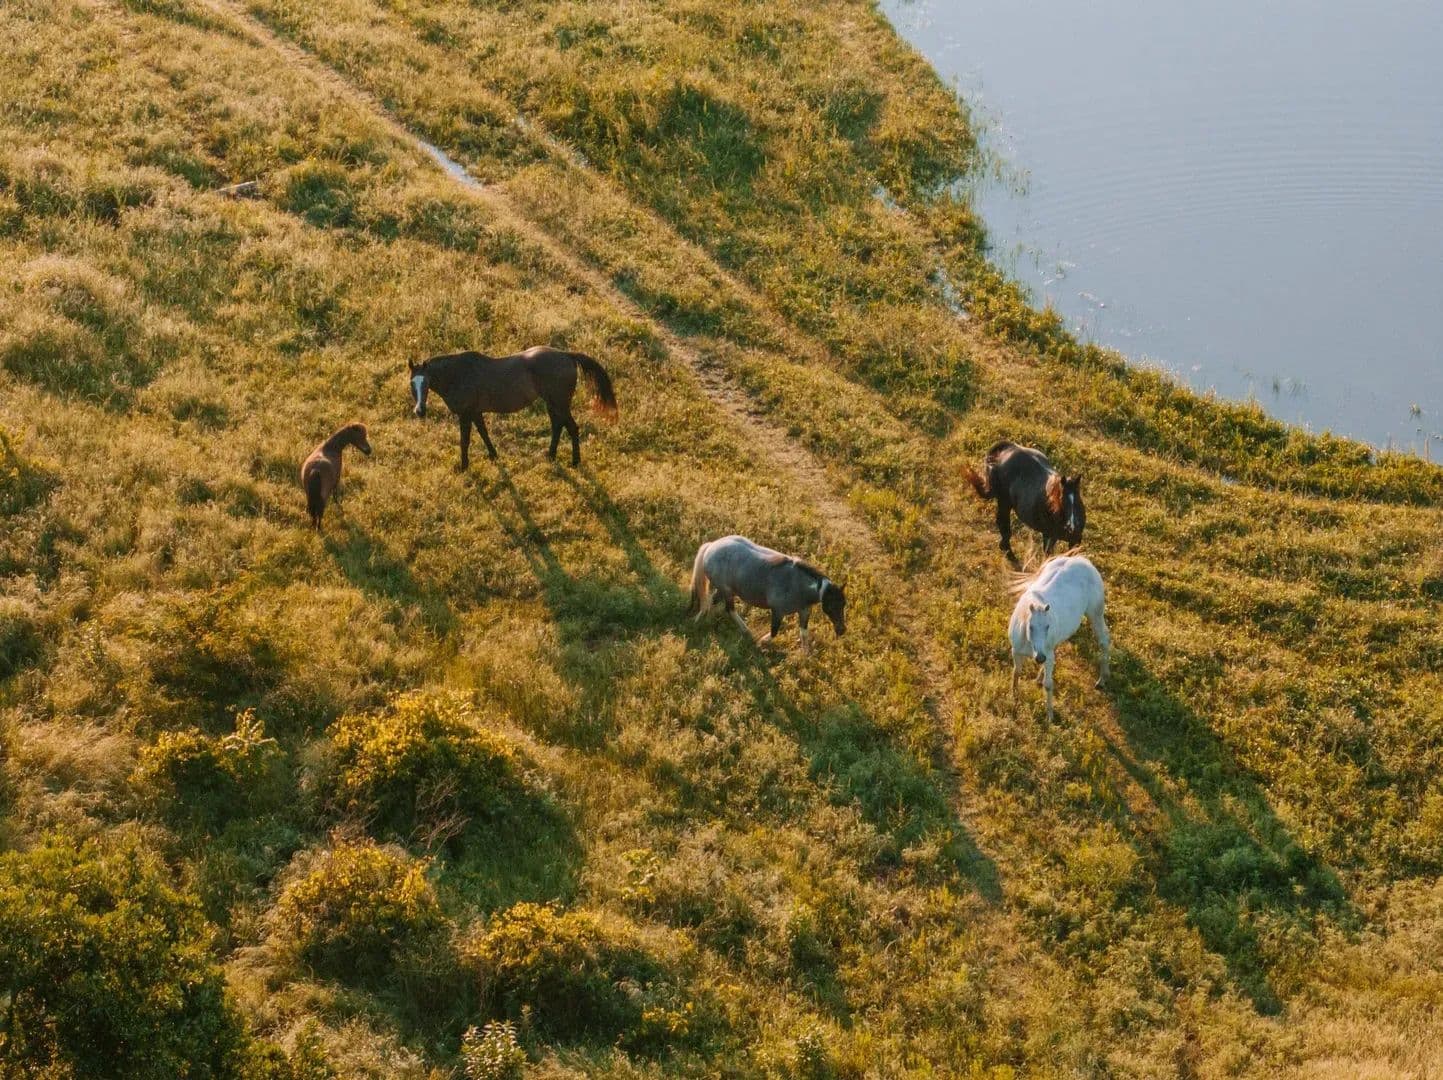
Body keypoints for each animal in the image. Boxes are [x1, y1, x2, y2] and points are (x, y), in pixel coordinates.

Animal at [408, 346, 617, 469]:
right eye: (412, 383)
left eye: (426, 383)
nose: (420, 411)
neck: (458, 375)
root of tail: (567, 355)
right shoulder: (476, 412)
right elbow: (483, 433)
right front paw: (493, 455)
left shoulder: (466, 414)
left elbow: (464, 441)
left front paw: (464, 466)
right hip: (552, 404)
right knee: (557, 426)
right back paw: (551, 455)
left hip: (560, 404)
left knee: (572, 428)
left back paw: (575, 462)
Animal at [688, 535, 846, 654]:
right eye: (832, 606)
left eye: (843, 604)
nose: (842, 630)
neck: (797, 584)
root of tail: (711, 546)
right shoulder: (777, 612)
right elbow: (774, 632)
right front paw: (761, 642)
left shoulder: (804, 612)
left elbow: (804, 634)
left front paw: (806, 655)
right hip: (726, 591)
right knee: (726, 608)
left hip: (725, 591)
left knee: (712, 602)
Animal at [1008, 553, 1110, 721]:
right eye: (1030, 626)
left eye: (1047, 626)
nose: (1040, 658)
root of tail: (1082, 560)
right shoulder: (1016, 652)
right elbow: (1016, 672)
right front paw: (1014, 696)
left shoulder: (1048, 655)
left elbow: (1049, 684)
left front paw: (1050, 717)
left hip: (1095, 614)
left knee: (1104, 640)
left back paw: (1102, 680)